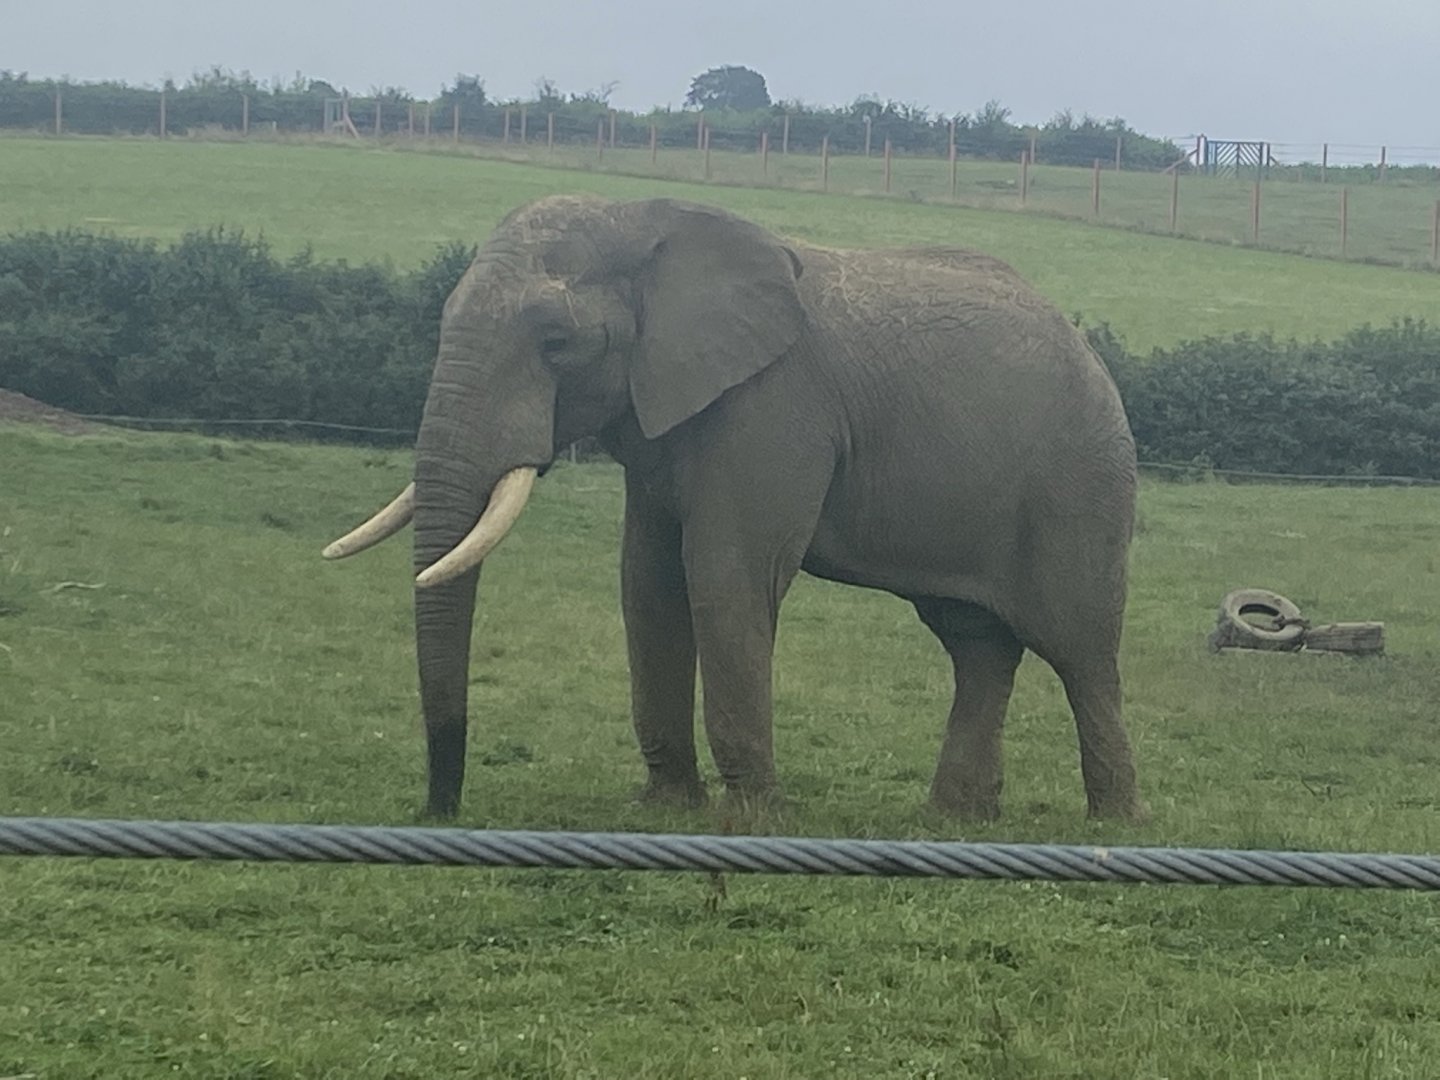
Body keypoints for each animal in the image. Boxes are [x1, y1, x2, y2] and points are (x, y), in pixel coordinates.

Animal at [323, 194, 1144, 822]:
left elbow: (725, 576)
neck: (647, 222)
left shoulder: (772, 407)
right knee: (977, 645)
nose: (440, 808)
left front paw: (749, 817)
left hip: (1081, 483)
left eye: (557, 341)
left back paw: (1109, 825)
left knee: (1079, 648)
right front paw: (664, 807)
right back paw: (954, 821)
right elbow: (647, 584)